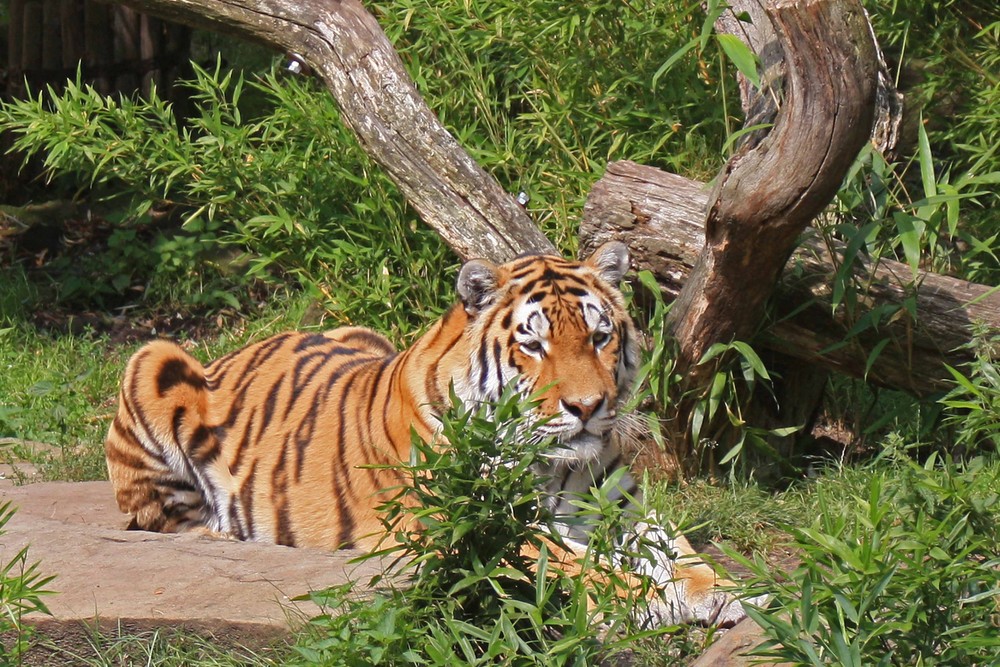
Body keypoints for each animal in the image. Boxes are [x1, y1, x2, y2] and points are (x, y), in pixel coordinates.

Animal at [107, 243, 752, 628]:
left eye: (599, 337)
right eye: (534, 343)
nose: (588, 407)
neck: (551, 463)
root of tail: (245, 345)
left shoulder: (621, 509)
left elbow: (679, 551)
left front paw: (730, 592)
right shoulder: (472, 524)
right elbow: (574, 567)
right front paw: (644, 600)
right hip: (152, 358)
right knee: (155, 519)